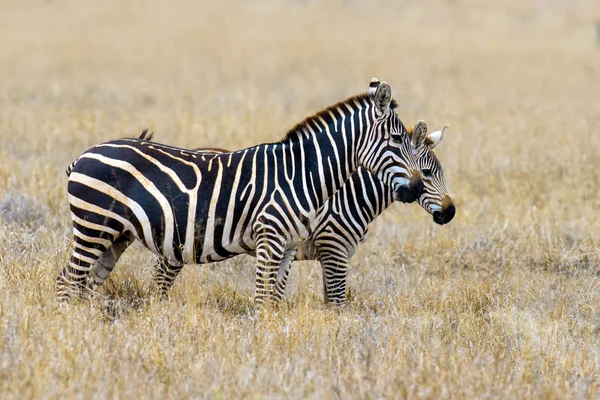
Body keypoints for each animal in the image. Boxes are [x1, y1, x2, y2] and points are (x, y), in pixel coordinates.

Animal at [58, 78, 426, 304]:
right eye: (398, 140)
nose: (417, 186)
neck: (304, 173)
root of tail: (84, 155)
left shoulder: (288, 247)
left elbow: (274, 300)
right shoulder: (270, 238)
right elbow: (263, 299)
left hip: (116, 234)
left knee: (87, 283)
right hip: (93, 225)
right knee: (68, 279)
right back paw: (73, 329)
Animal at [195, 120, 452, 304]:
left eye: (440, 172)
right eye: (427, 173)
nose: (450, 212)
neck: (351, 195)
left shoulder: (331, 254)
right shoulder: (332, 248)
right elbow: (337, 303)